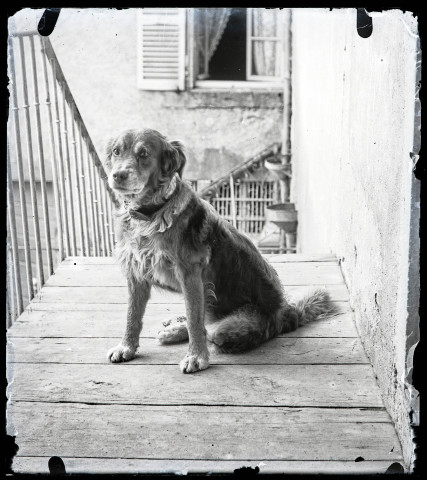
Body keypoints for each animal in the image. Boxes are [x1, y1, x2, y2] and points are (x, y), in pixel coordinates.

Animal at [105, 129, 340, 374]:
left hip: (231, 327)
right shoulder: (136, 274)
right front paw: (126, 347)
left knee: (209, 330)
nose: (117, 175)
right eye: (116, 151)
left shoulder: (190, 275)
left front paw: (196, 357)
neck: (150, 214)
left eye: (144, 154)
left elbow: (194, 320)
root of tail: (288, 313)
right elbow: (132, 315)